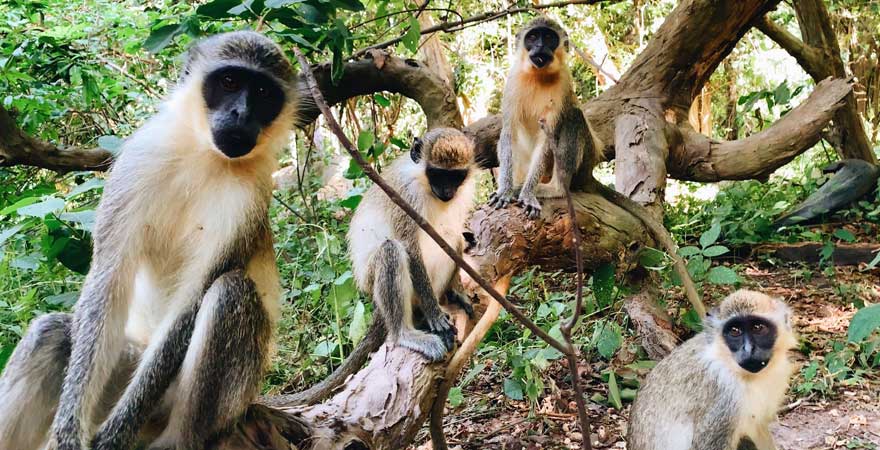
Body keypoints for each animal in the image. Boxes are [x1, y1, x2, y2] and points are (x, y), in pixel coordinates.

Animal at [0, 31, 296, 450]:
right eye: (229, 82)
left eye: (262, 92)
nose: (241, 114)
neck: (203, 155)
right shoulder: (136, 161)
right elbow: (108, 281)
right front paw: (69, 433)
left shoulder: (248, 201)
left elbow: (191, 303)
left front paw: (112, 436)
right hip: (122, 363)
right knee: (53, 334)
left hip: (222, 400)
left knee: (229, 292)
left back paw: (175, 440)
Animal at [269, 128, 478, 407]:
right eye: (437, 174)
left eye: (456, 176)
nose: (446, 191)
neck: (425, 185)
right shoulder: (406, 195)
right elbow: (410, 249)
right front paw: (435, 317)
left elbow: (451, 237)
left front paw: (458, 290)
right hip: (376, 283)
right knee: (391, 250)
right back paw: (406, 332)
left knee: (451, 237)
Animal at [489, 17, 706, 316]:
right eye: (533, 37)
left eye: (549, 38)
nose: (540, 49)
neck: (537, 76)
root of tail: (590, 173)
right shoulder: (512, 84)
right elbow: (508, 132)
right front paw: (505, 190)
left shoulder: (563, 87)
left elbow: (549, 134)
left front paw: (528, 194)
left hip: (583, 160)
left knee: (573, 117)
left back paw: (554, 188)